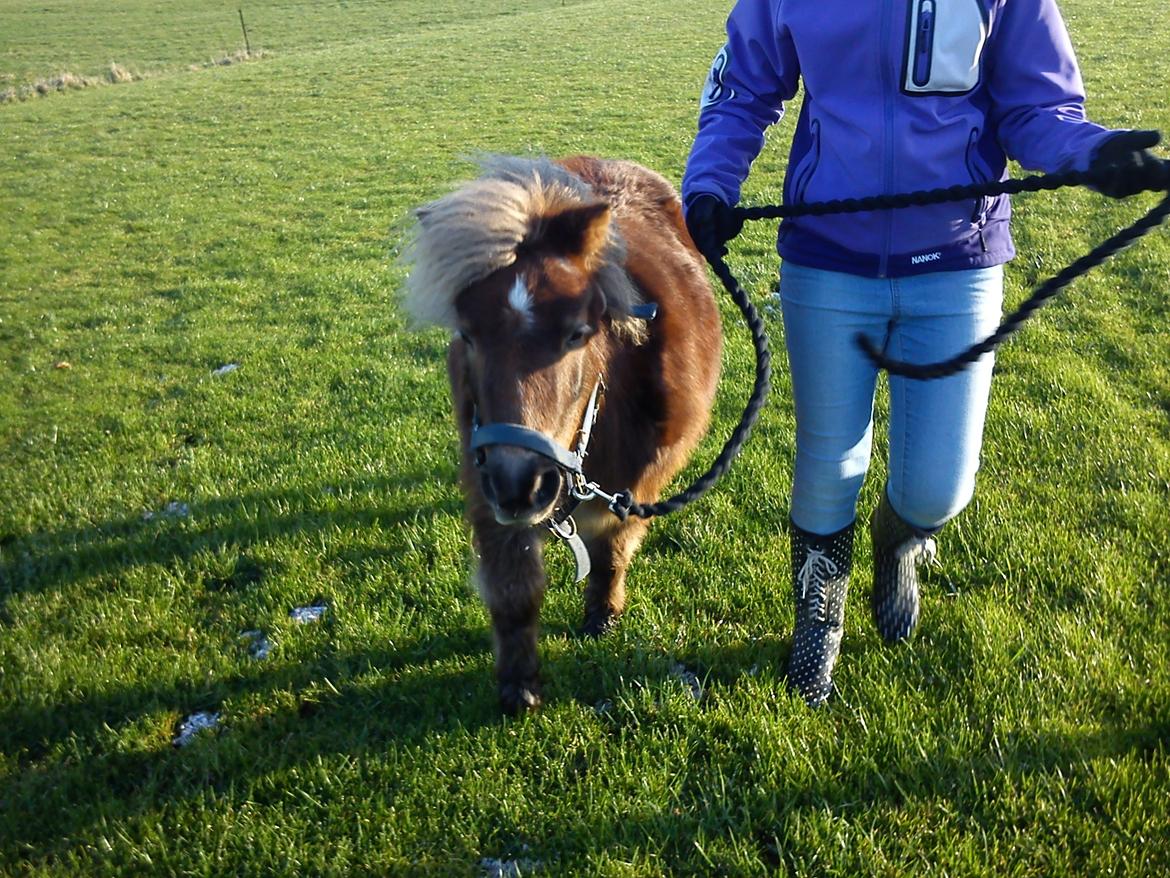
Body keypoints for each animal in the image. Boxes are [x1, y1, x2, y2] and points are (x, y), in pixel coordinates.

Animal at [407, 156, 725, 716]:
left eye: (578, 333)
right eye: (467, 336)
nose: (520, 484)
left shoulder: (639, 483)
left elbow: (613, 548)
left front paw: (602, 614)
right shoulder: (485, 477)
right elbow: (513, 585)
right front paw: (519, 683)